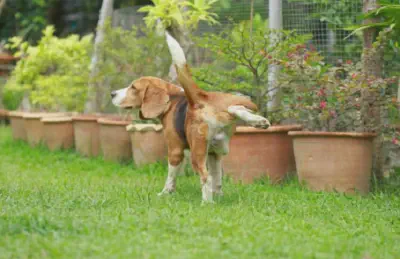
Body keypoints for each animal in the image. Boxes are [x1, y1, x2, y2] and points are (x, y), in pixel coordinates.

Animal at [111, 33, 270, 203]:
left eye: (133, 87)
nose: (112, 94)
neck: (172, 99)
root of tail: (199, 98)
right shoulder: (213, 154)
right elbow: (217, 179)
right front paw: (218, 195)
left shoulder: (175, 150)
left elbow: (171, 176)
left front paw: (165, 193)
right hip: (233, 111)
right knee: (237, 108)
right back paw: (258, 121)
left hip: (196, 152)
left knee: (205, 177)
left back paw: (206, 203)